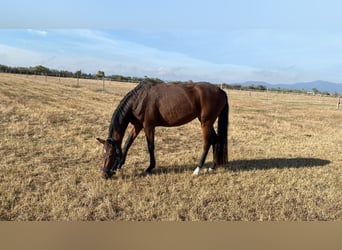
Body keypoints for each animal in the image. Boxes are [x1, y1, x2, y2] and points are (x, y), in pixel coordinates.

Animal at [97, 79, 230, 179]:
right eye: (103, 154)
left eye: (111, 155)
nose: (104, 175)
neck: (140, 99)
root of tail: (220, 90)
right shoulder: (137, 126)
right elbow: (127, 143)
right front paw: (120, 165)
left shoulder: (149, 126)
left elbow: (150, 146)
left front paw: (149, 168)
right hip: (208, 123)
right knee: (215, 140)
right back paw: (212, 167)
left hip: (206, 122)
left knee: (207, 143)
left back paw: (197, 170)